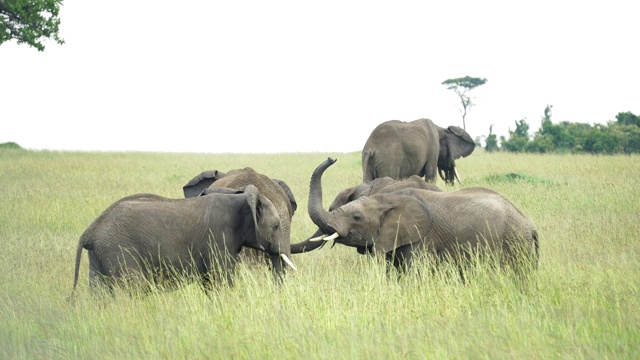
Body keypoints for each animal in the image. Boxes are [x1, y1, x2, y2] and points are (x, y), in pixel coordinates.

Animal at [70, 184, 298, 296]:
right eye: (276, 227)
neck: (239, 198)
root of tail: (90, 231)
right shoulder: (218, 238)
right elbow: (222, 280)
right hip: (119, 249)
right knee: (134, 288)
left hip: (100, 254)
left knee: (100, 293)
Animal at [308, 156, 536, 274]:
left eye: (356, 217)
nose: (331, 158)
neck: (387, 199)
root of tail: (531, 227)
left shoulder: (421, 239)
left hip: (515, 244)